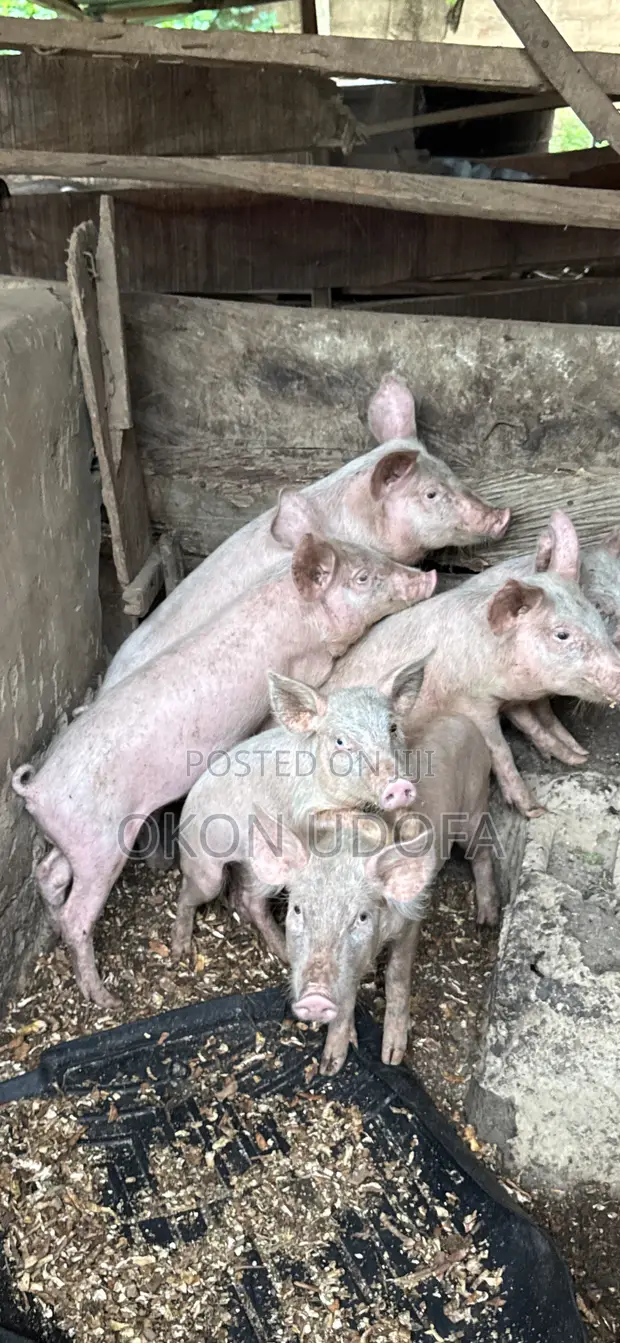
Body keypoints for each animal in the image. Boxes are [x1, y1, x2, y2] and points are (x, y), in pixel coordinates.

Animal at [171, 662, 425, 963]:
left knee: (248, 898)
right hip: (205, 868)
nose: (398, 786)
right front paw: (385, 837)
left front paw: (408, 830)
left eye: (393, 727)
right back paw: (181, 949)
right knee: (190, 894)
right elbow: (356, 819)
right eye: (341, 741)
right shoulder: (302, 811)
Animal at [251, 712, 497, 1076]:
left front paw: (391, 1057)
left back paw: (487, 921)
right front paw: (330, 1065)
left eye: (362, 917)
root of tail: (459, 718)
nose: (315, 998)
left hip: (475, 806)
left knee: (482, 853)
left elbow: (397, 975)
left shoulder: (411, 918)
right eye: (297, 910)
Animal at [323, 512, 620, 818]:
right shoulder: (472, 703)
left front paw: (577, 757)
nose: (618, 673)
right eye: (562, 634)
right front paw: (534, 810)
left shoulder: (510, 699)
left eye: (595, 615)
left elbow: (533, 724)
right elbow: (500, 749)